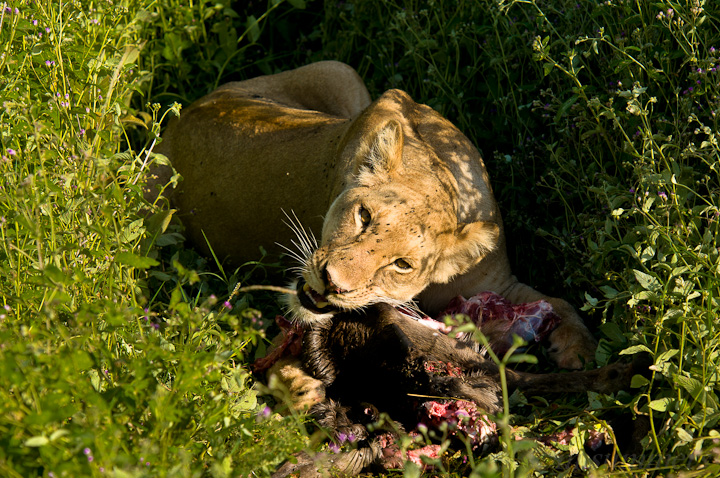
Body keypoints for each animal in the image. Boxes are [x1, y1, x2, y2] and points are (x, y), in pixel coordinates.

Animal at [149, 61, 596, 369]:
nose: (332, 283)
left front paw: (580, 350)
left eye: (402, 264)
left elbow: (558, 302)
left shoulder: (495, 282)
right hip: (342, 73)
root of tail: (181, 119)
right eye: (363, 216)